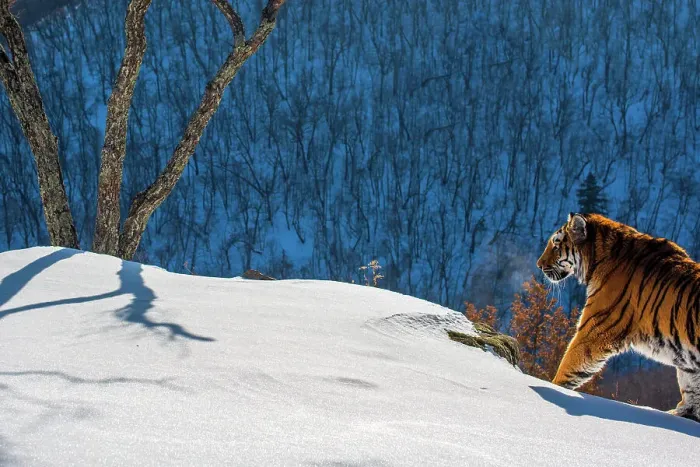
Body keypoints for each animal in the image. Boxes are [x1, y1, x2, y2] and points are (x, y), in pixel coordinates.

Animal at [537, 212, 700, 422]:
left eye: (556, 245)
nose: (539, 265)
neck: (597, 260)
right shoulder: (688, 362)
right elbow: (691, 387)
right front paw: (684, 414)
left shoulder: (595, 330)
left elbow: (569, 363)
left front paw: (553, 388)